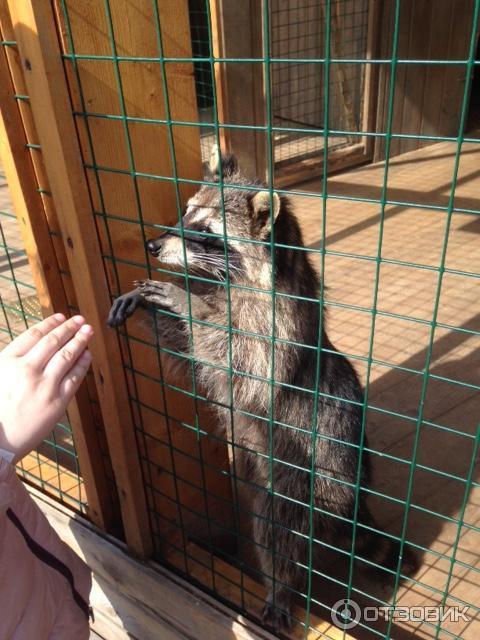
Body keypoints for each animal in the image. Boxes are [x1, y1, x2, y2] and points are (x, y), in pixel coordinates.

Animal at [109, 148, 412, 632]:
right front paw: (153, 309)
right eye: (184, 213)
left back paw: (281, 588)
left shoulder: (275, 325)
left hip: (308, 478)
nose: (153, 246)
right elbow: (191, 357)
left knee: (277, 533)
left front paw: (185, 301)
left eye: (205, 232)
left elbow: (240, 357)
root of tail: (355, 500)